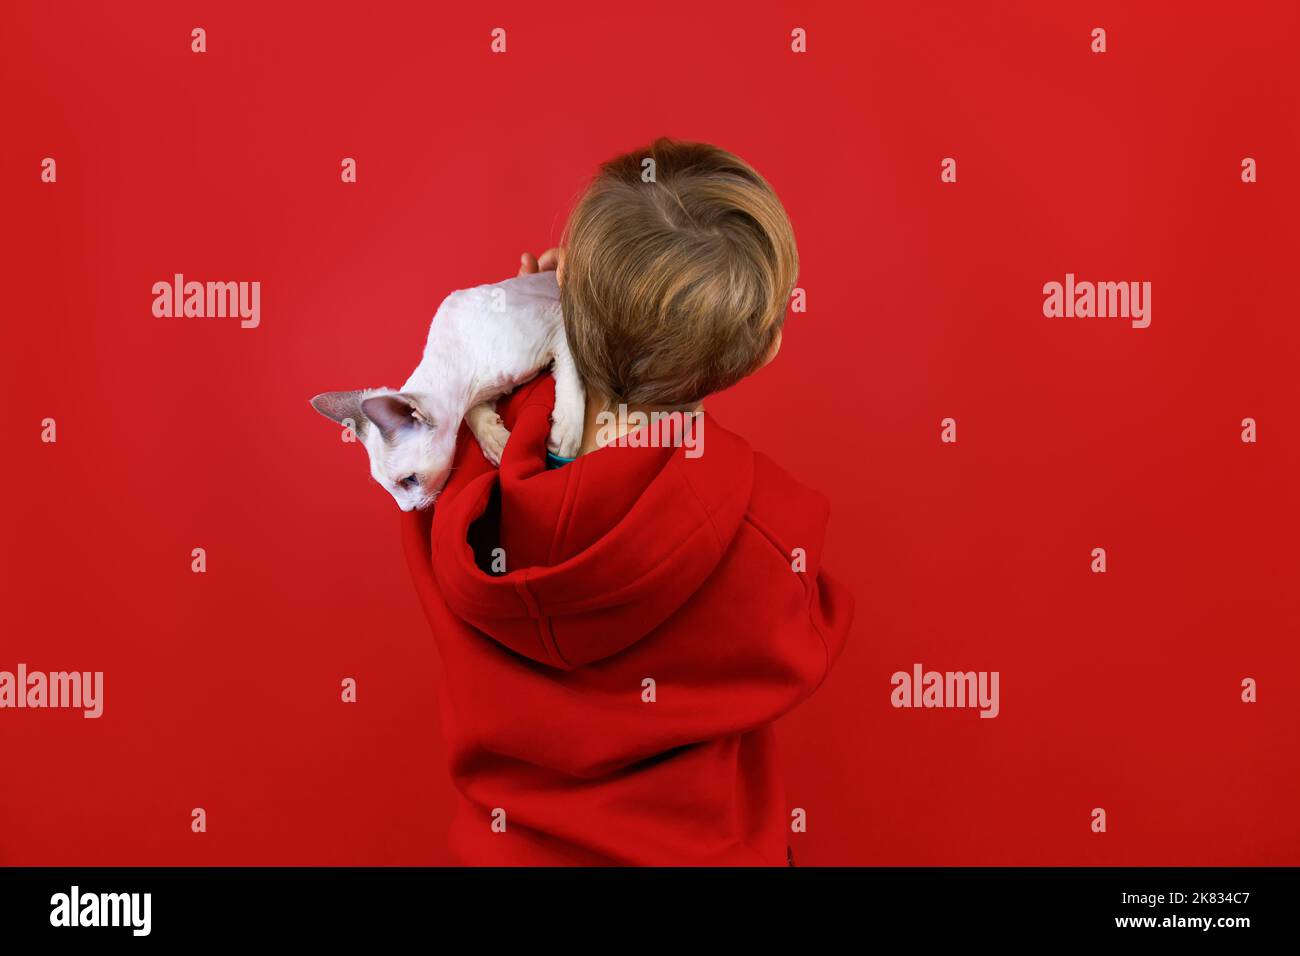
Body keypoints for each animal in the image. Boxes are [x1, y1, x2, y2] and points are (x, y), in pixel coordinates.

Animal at [312, 270, 582, 509]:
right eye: (387, 489)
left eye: (410, 480)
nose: (408, 509)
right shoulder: (479, 394)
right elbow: (473, 415)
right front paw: (497, 444)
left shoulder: (559, 321)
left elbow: (572, 371)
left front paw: (567, 431)